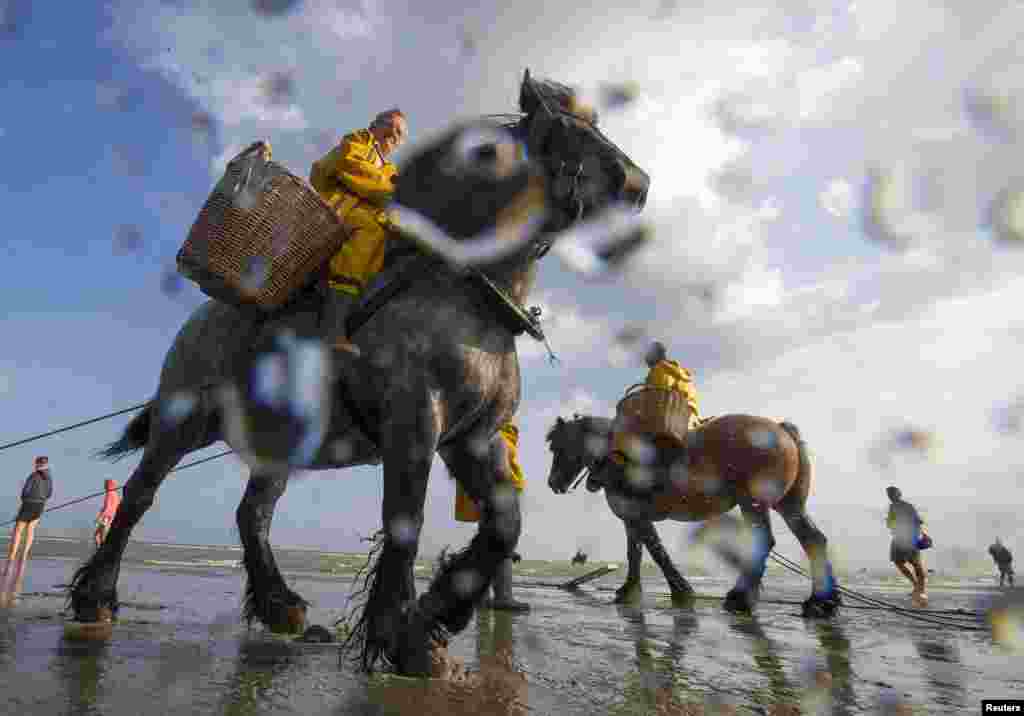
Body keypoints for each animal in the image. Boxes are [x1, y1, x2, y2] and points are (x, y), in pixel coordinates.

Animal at [70, 72, 647, 676]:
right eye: (569, 132)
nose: (640, 183)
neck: (459, 290)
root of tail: (204, 316)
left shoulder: (473, 439)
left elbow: (503, 522)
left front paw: (439, 612)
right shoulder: (413, 424)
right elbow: (404, 523)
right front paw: (405, 637)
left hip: (280, 445)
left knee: (253, 514)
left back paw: (279, 606)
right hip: (179, 424)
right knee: (138, 497)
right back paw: (95, 597)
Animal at [548, 411, 843, 618]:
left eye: (556, 447)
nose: (553, 483)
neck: (617, 456)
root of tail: (781, 429)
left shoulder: (637, 517)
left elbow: (656, 552)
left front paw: (681, 591)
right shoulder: (631, 518)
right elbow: (636, 553)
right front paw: (629, 591)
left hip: (753, 503)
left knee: (765, 541)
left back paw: (741, 598)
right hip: (789, 505)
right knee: (813, 540)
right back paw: (822, 602)